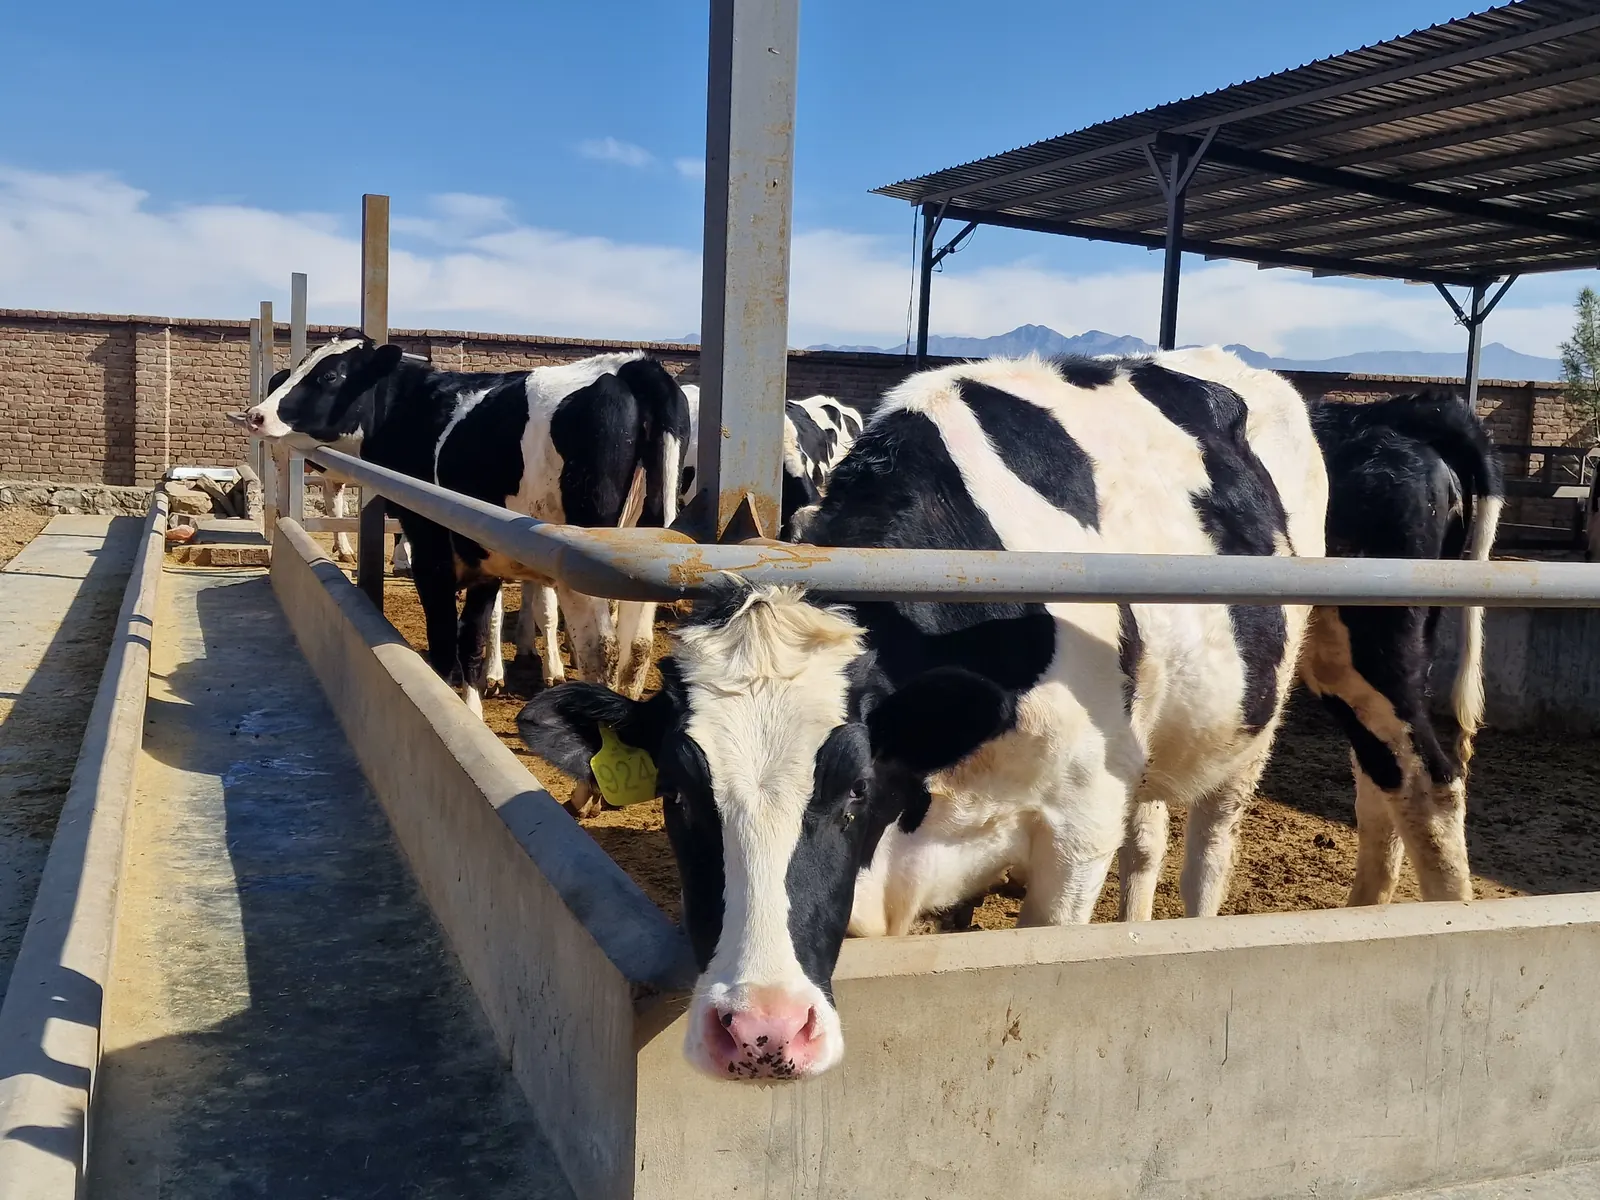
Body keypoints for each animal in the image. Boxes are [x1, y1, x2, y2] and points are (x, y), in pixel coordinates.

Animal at [246, 332, 691, 715]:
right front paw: (473, 710)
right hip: (647, 553)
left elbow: (445, 637)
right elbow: (473, 638)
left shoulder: (431, 547)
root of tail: (632, 364)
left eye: (330, 375)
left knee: (602, 650)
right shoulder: (483, 557)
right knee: (638, 646)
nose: (257, 415)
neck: (412, 407)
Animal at [518, 347, 1328, 1079]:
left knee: (1207, 852)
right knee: (1149, 839)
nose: (760, 1031)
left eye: (855, 789)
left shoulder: (1081, 824)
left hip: (1249, 736)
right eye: (678, 794)